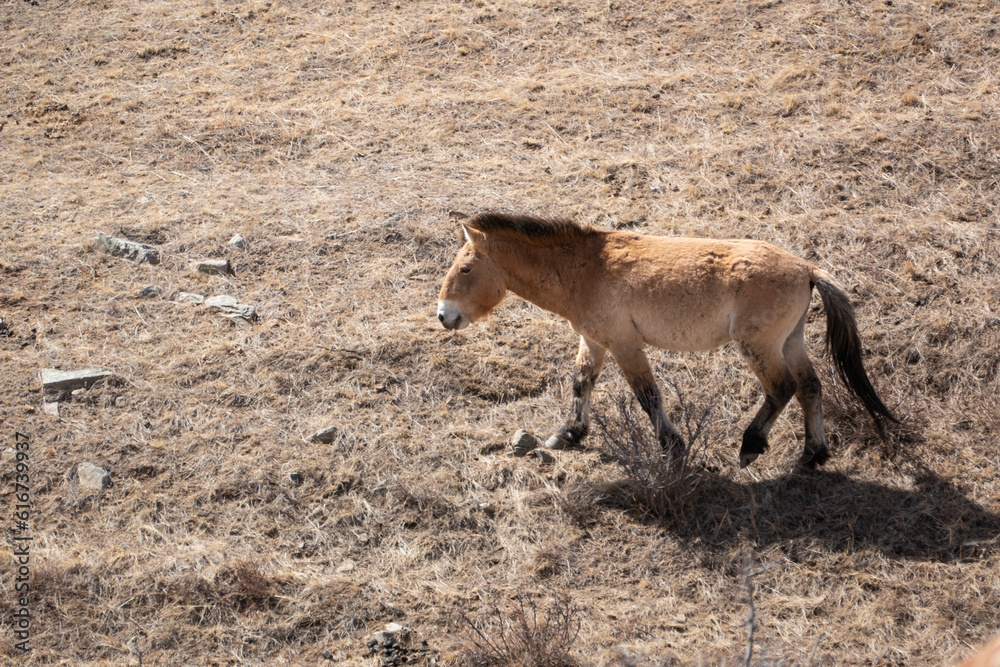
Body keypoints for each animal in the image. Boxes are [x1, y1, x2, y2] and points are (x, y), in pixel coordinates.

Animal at [437, 213, 896, 470]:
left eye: (465, 268)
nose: (444, 315)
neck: (586, 268)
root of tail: (806, 268)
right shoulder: (594, 341)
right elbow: (581, 383)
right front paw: (569, 434)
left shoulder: (625, 345)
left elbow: (648, 396)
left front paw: (672, 449)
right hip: (789, 342)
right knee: (810, 387)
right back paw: (812, 455)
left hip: (760, 347)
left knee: (782, 388)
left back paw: (750, 446)